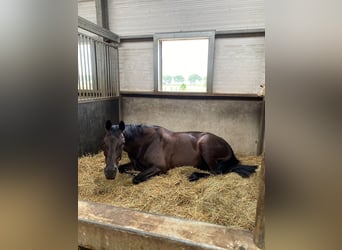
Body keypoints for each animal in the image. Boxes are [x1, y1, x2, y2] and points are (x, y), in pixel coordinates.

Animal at [103, 120, 258, 185]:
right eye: (104, 142)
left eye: (122, 143)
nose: (110, 172)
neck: (147, 142)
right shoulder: (135, 165)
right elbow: (124, 169)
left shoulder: (158, 167)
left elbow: (136, 178)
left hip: (206, 145)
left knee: (216, 172)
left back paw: (194, 176)